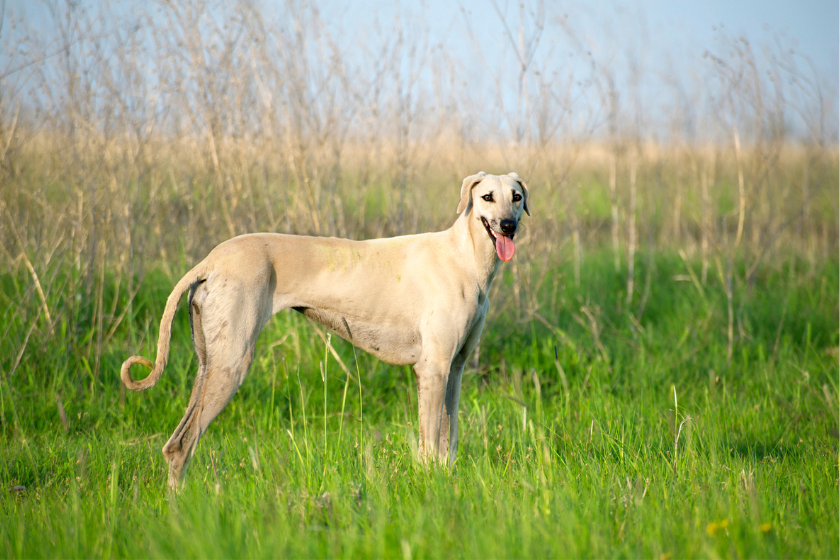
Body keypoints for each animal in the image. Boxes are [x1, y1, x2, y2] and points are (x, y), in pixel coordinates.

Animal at [121, 171, 528, 486]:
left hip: (209, 365)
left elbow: (449, 440)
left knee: (177, 442)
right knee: (181, 445)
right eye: (487, 197)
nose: (508, 226)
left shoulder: (454, 370)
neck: (463, 256)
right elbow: (429, 446)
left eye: (516, 197)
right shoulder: (432, 370)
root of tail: (211, 260)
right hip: (231, 366)